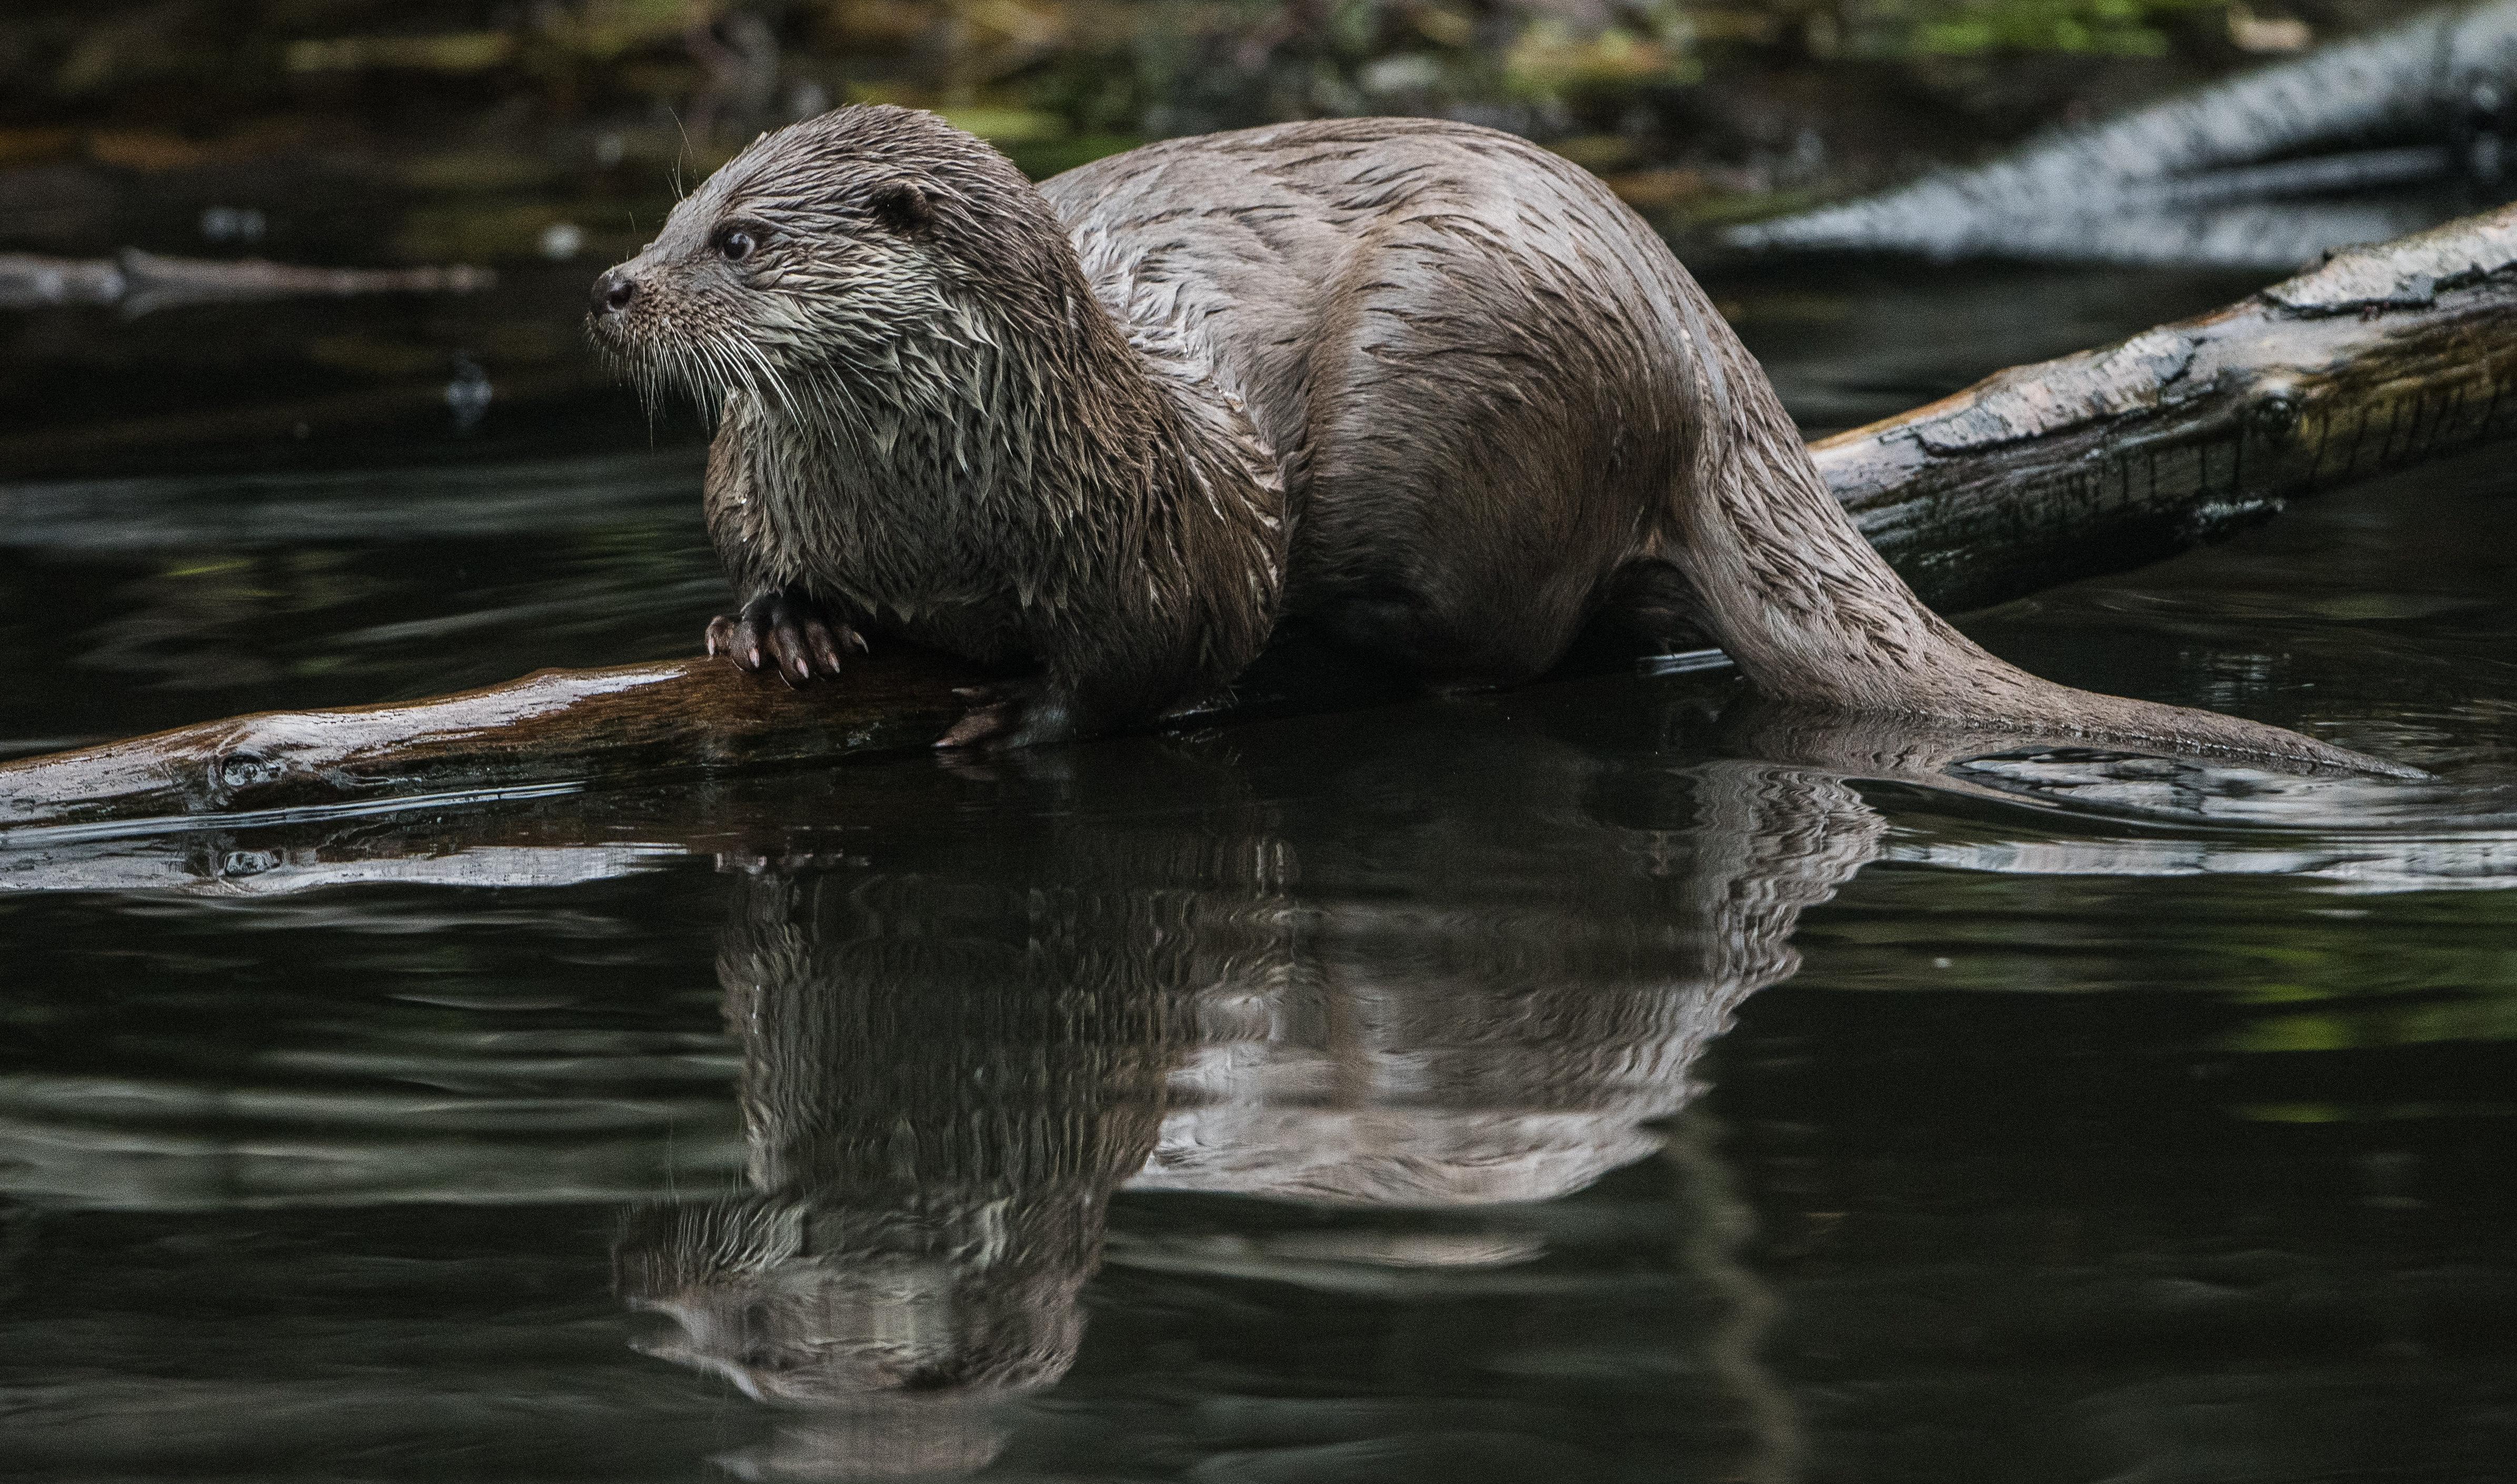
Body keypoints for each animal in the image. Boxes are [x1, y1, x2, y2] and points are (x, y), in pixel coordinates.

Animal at [590, 105, 2402, 774]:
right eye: (674, 208)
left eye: (739, 240)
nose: (613, 288)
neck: (940, 524)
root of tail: (1683, 319)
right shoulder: (762, 484)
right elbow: (763, 559)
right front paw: (778, 622)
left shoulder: (1173, 531)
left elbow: (1158, 655)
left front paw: (1016, 712)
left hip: (1472, 368)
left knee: (1515, 639)